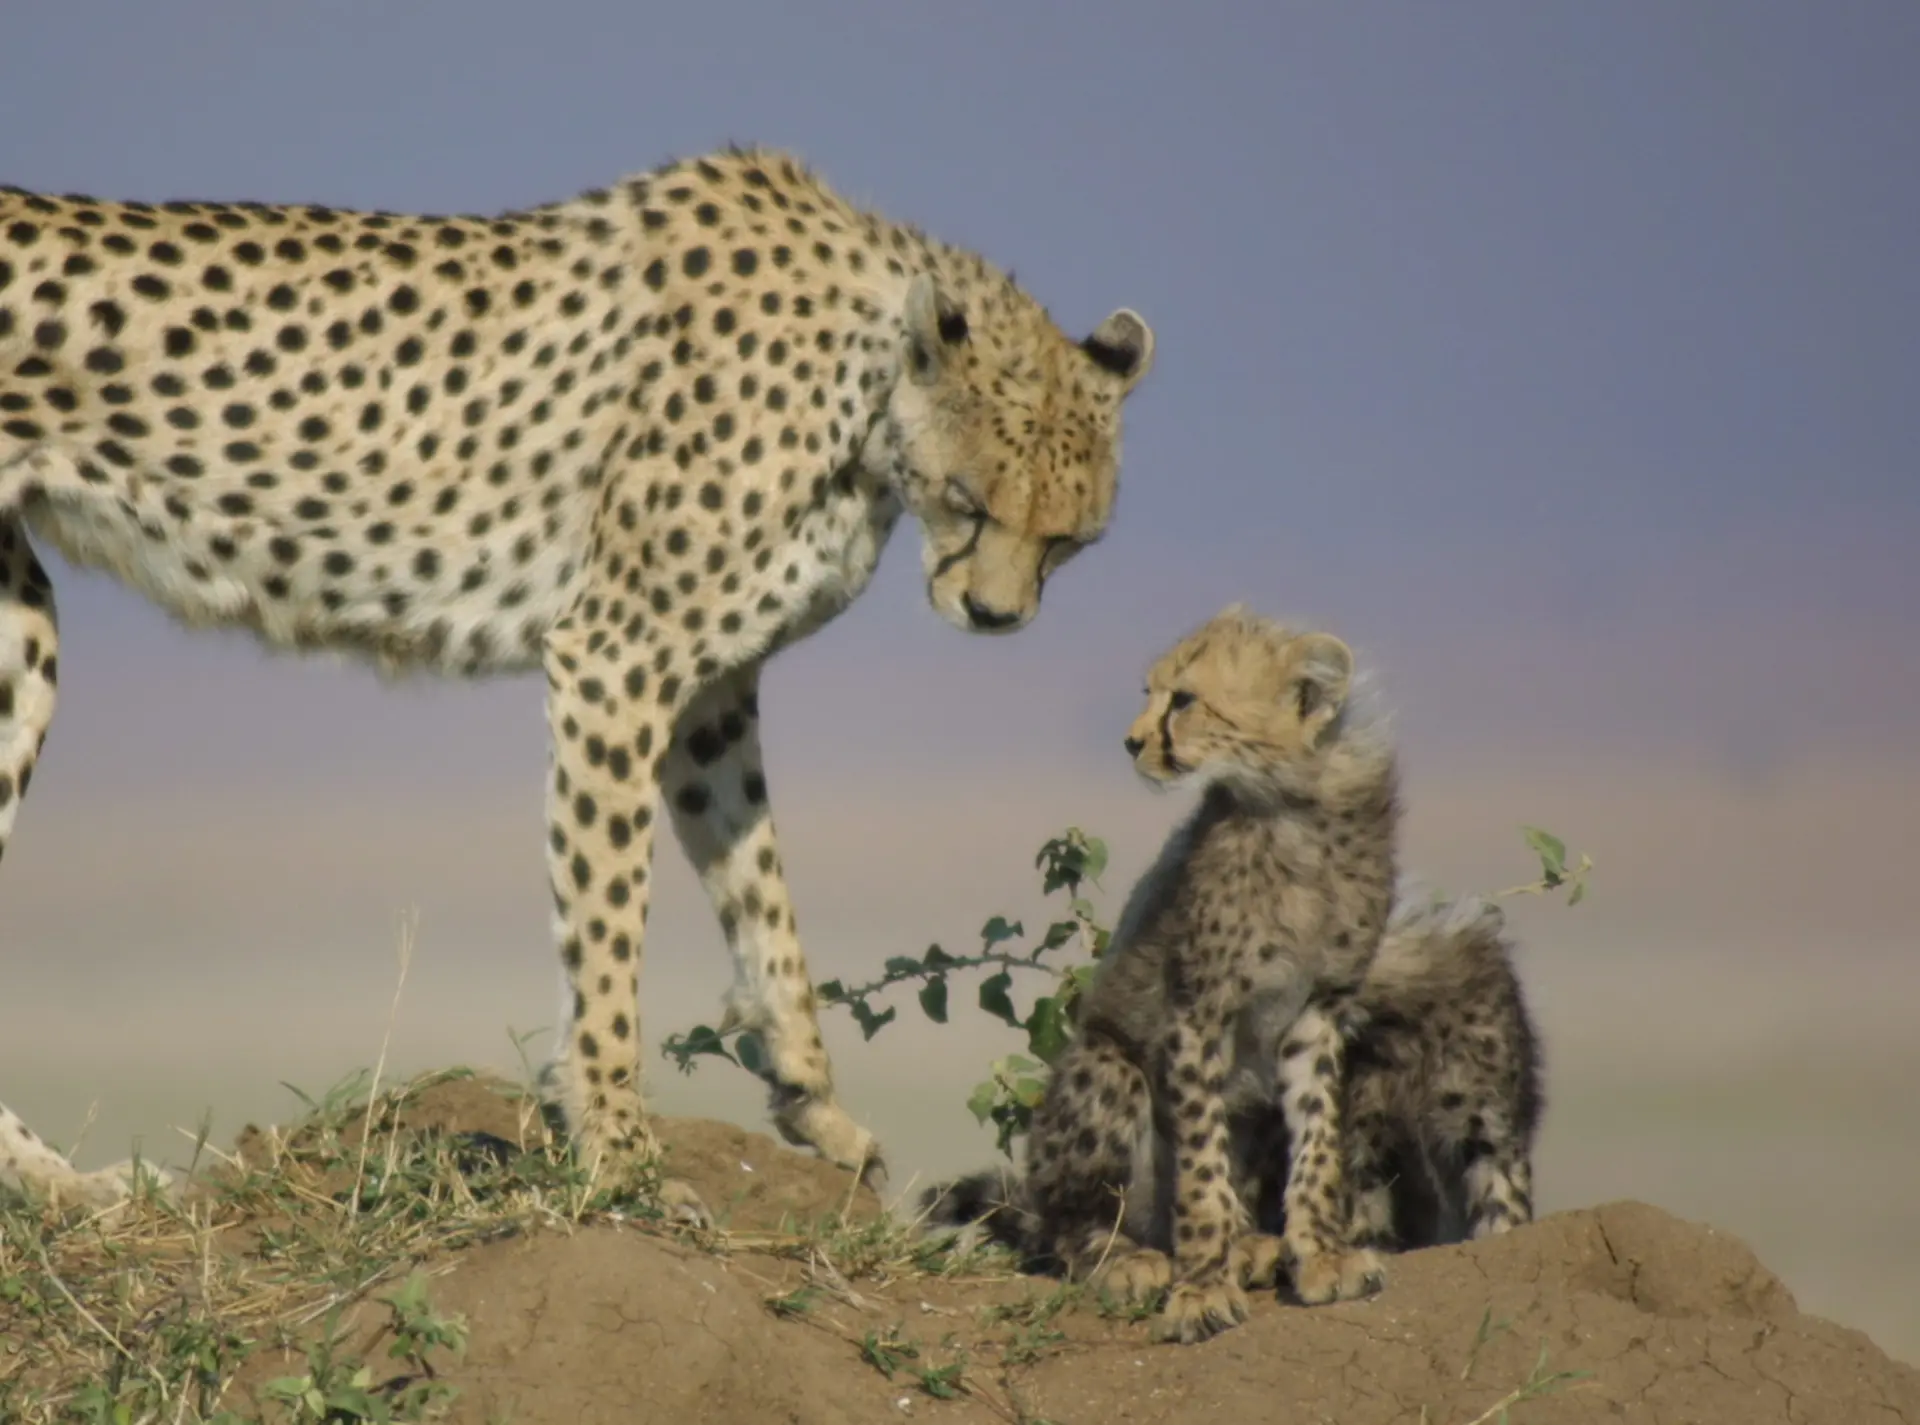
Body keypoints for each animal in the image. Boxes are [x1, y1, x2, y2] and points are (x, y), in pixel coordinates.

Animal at [0, 145, 1155, 1219]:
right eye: (971, 500)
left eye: (1070, 539)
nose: (996, 615)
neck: (863, 393)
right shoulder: (618, 657)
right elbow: (607, 933)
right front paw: (621, 1159)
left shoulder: (711, 693)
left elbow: (762, 892)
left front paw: (816, 1104)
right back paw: (63, 1184)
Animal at [922, 604, 1399, 1345]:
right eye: (1152, 693)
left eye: (1184, 700)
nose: (1131, 741)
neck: (1293, 807)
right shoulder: (1195, 1014)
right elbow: (1202, 1172)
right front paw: (1201, 1289)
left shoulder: (1319, 1012)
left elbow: (1317, 1140)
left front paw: (1320, 1255)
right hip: (1104, 1071)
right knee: (1066, 1226)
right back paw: (1126, 1257)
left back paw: (1251, 1245)